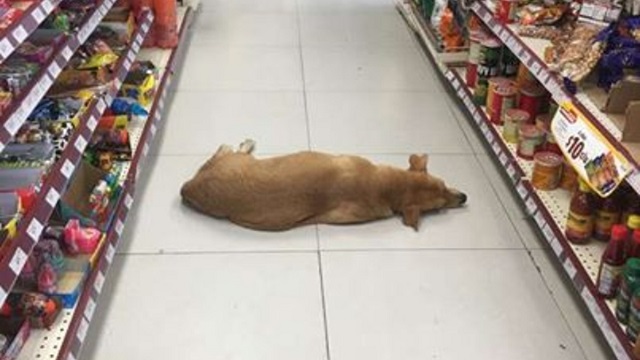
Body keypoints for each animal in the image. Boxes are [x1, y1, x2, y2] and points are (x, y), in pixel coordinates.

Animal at [180, 139, 464, 232]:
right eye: (440, 206)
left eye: (445, 185)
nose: (465, 197)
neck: (385, 186)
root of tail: (189, 187)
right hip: (235, 159)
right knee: (227, 147)